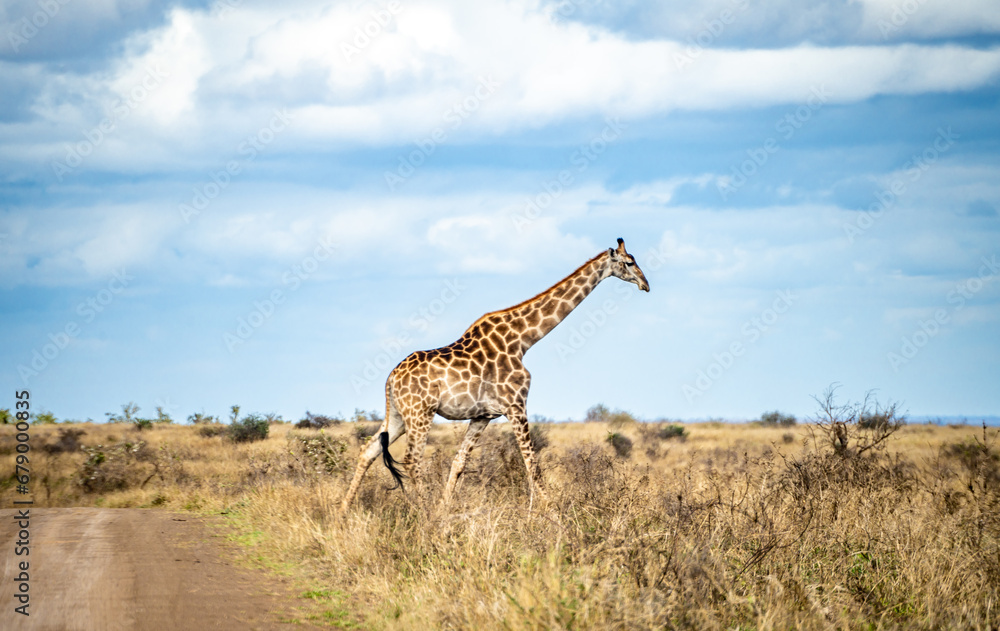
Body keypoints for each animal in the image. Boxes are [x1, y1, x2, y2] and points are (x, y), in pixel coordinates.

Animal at [340, 238, 650, 512]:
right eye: (630, 262)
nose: (646, 285)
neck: (523, 340)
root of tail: (391, 378)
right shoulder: (516, 405)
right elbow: (531, 464)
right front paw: (551, 513)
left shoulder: (484, 415)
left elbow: (459, 463)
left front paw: (444, 512)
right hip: (420, 414)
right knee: (411, 460)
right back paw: (422, 512)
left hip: (397, 415)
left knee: (369, 450)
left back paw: (343, 512)